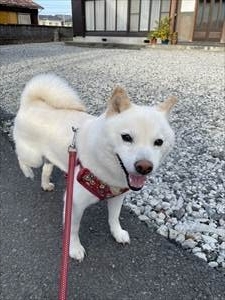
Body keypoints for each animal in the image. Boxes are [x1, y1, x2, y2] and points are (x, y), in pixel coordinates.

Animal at [13, 74, 177, 262]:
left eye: (159, 142)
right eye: (126, 137)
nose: (144, 167)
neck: (109, 171)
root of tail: (31, 102)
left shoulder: (117, 196)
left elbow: (114, 218)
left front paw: (118, 233)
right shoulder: (75, 201)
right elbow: (73, 229)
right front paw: (74, 249)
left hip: (48, 157)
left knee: (46, 168)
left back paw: (46, 184)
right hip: (33, 157)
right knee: (21, 157)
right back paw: (27, 172)